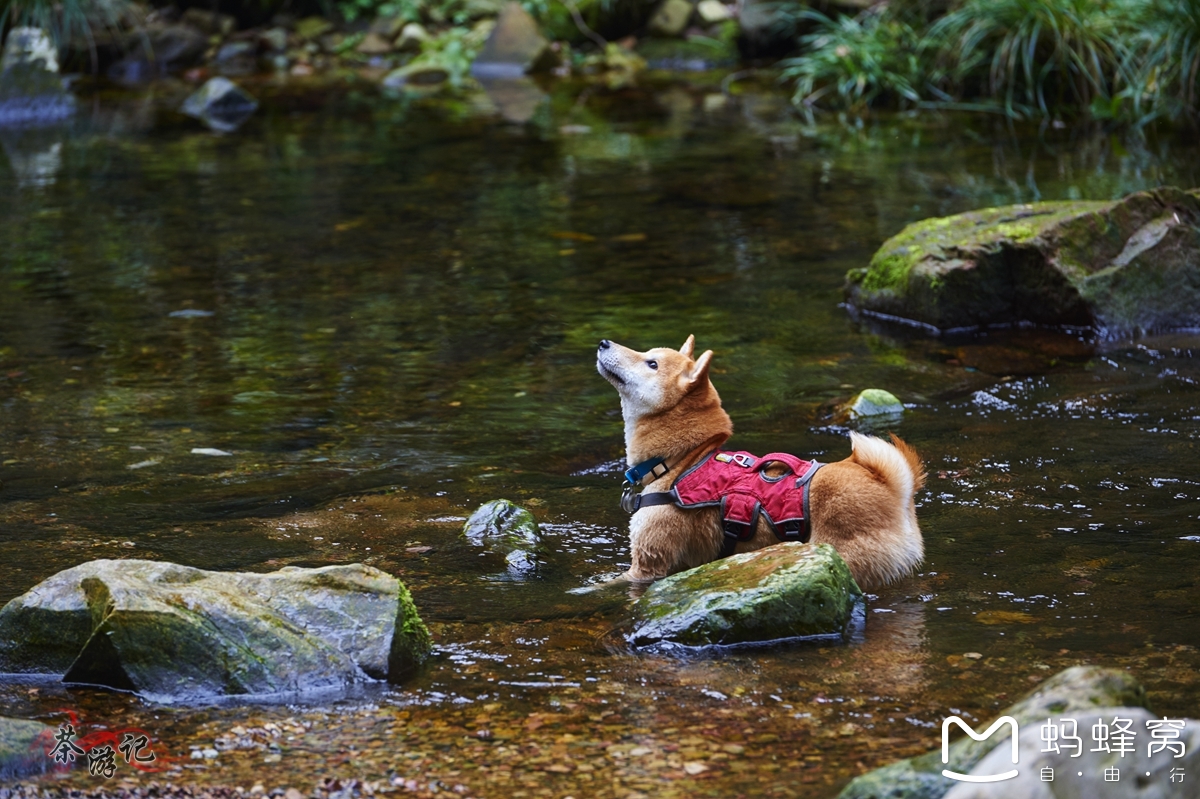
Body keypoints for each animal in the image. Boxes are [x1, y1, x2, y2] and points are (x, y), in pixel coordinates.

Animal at [595, 333, 921, 587]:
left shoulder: (648, 565)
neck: (680, 461)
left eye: (651, 363)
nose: (602, 342)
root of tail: (892, 489)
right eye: (648, 355)